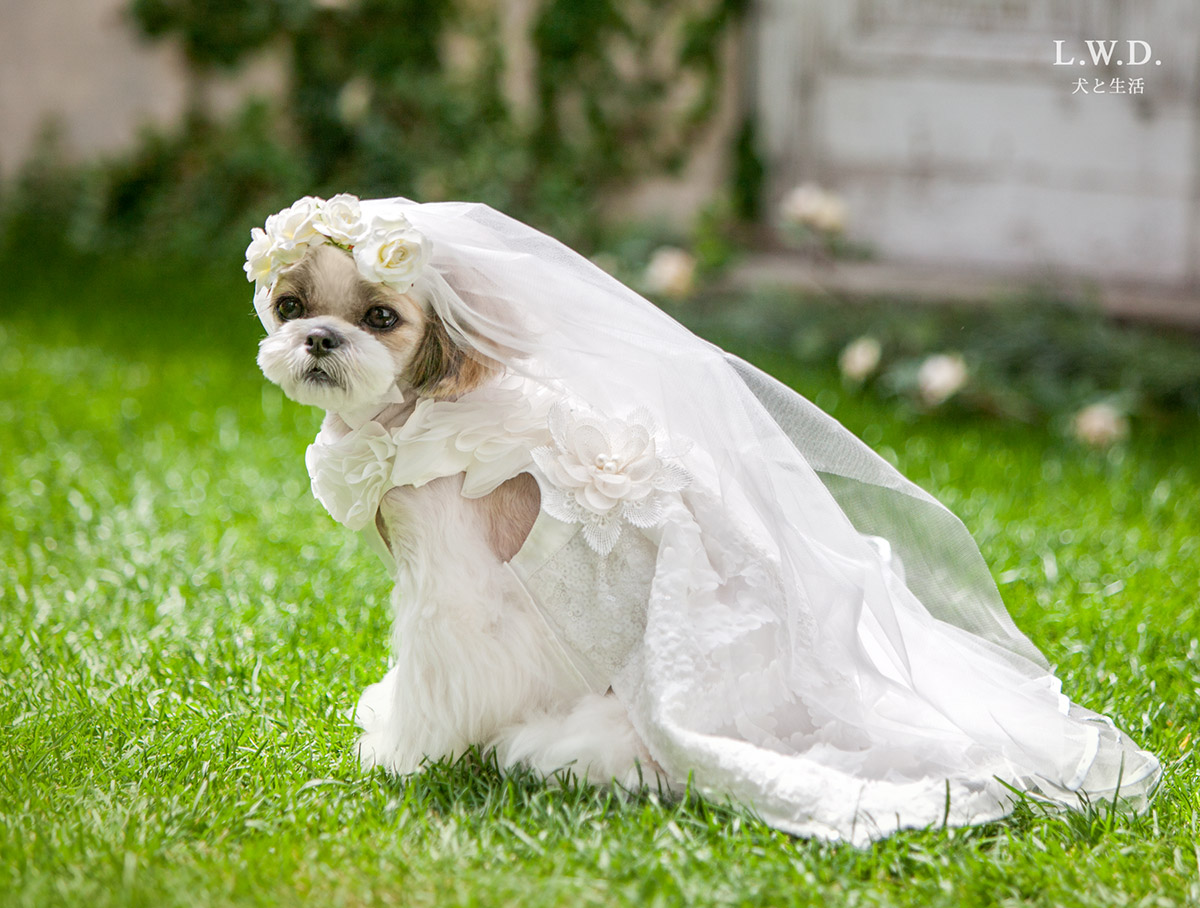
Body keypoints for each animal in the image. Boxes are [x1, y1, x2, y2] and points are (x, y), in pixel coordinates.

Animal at [256, 233, 662, 786]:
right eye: (290, 307)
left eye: (381, 316)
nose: (319, 337)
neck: (408, 419)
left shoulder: (451, 593)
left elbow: (433, 676)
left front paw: (403, 756)